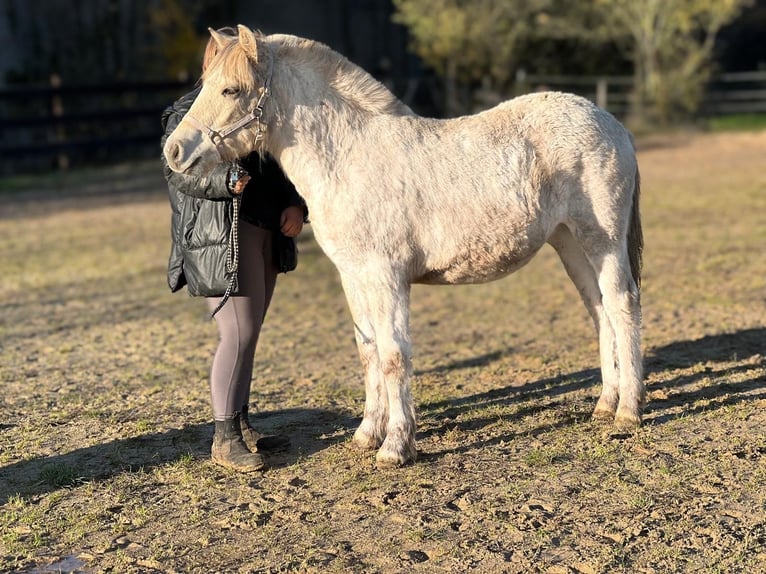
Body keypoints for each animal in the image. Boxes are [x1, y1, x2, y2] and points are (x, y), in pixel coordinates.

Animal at [164, 25, 644, 468]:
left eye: (231, 89)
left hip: (601, 240)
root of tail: (611, 122)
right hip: (569, 244)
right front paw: (366, 435)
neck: (350, 156)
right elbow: (369, 353)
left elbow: (394, 355)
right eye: (204, 85)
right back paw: (605, 404)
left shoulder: (386, 277)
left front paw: (396, 447)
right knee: (600, 311)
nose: (173, 151)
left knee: (622, 307)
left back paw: (629, 411)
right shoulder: (354, 277)